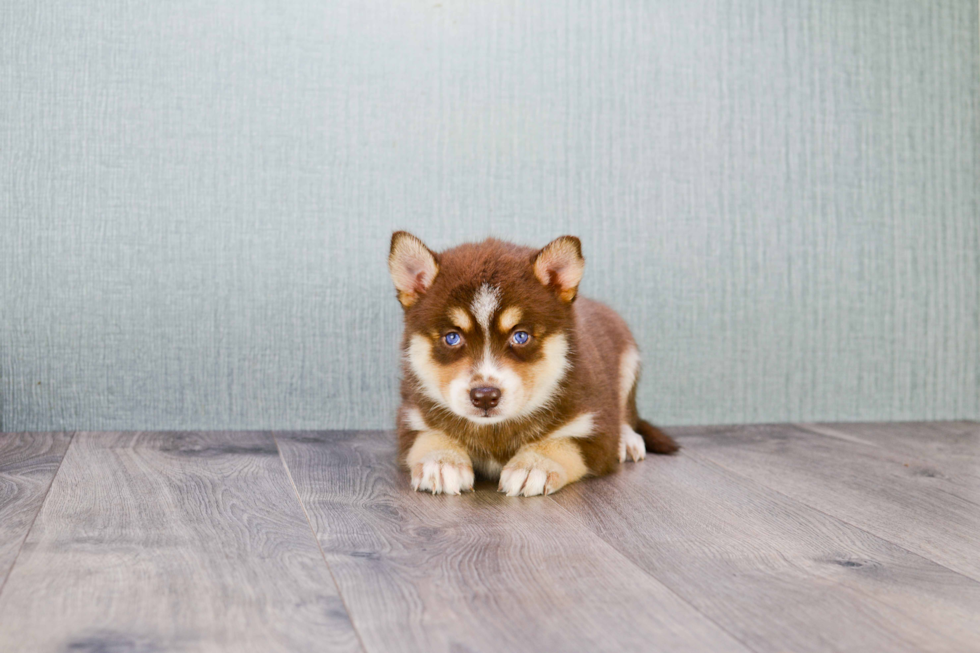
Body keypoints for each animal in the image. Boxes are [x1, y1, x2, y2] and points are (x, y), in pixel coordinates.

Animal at [386, 232, 676, 496]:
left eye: (521, 336)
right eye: (452, 337)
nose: (485, 397)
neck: (494, 431)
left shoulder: (597, 428)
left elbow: (565, 441)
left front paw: (535, 465)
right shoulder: (411, 417)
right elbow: (428, 435)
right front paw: (441, 460)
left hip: (628, 361)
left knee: (627, 413)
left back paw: (628, 441)